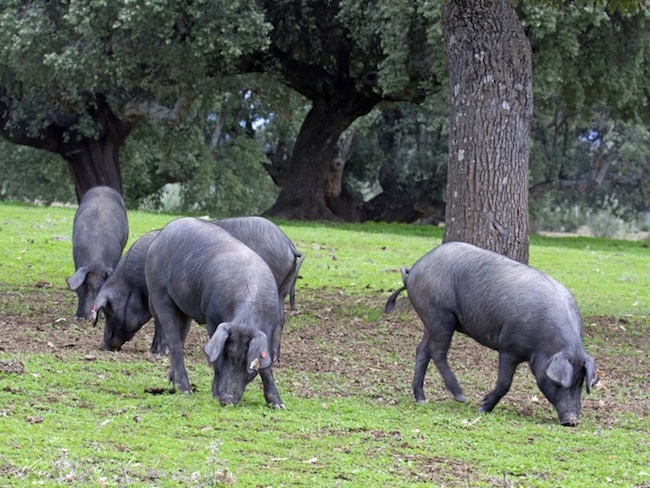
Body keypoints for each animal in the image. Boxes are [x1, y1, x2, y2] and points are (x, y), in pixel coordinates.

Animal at [146, 217, 282, 408]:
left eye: (247, 361)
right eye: (225, 355)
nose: (226, 400)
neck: (245, 318)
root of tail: (160, 236)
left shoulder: (271, 327)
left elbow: (266, 364)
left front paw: (278, 405)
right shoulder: (212, 317)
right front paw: (213, 394)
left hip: (183, 309)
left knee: (180, 338)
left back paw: (173, 384)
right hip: (159, 292)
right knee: (174, 342)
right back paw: (186, 390)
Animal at [384, 242, 596, 426]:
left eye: (580, 383)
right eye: (558, 384)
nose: (572, 421)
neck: (544, 344)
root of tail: (414, 269)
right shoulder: (509, 347)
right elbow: (505, 383)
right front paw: (482, 408)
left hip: (432, 320)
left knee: (422, 350)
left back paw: (422, 399)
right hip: (440, 315)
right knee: (437, 352)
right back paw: (461, 396)